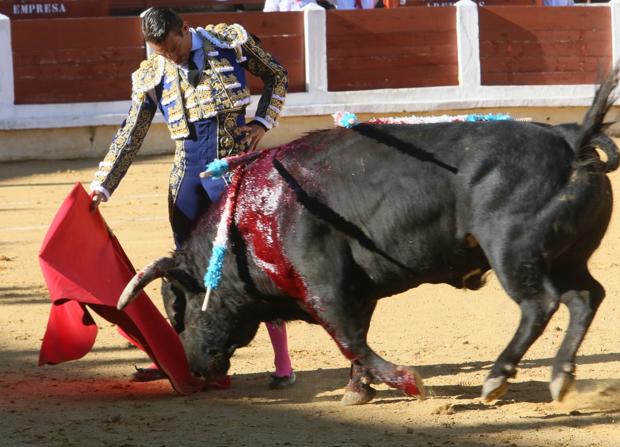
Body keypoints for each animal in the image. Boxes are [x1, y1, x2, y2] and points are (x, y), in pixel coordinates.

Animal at [118, 72, 616, 404]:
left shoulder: (324, 288)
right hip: (566, 256)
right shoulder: (359, 289)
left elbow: (350, 338)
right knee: (586, 297)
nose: (194, 368)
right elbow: (359, 335)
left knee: (541, 305)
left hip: (513, 254)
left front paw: (406, 382)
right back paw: (559, 377)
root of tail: (571, 137)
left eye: (178, 311)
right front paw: (359, 390)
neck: (247, 225)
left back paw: (497, 378)